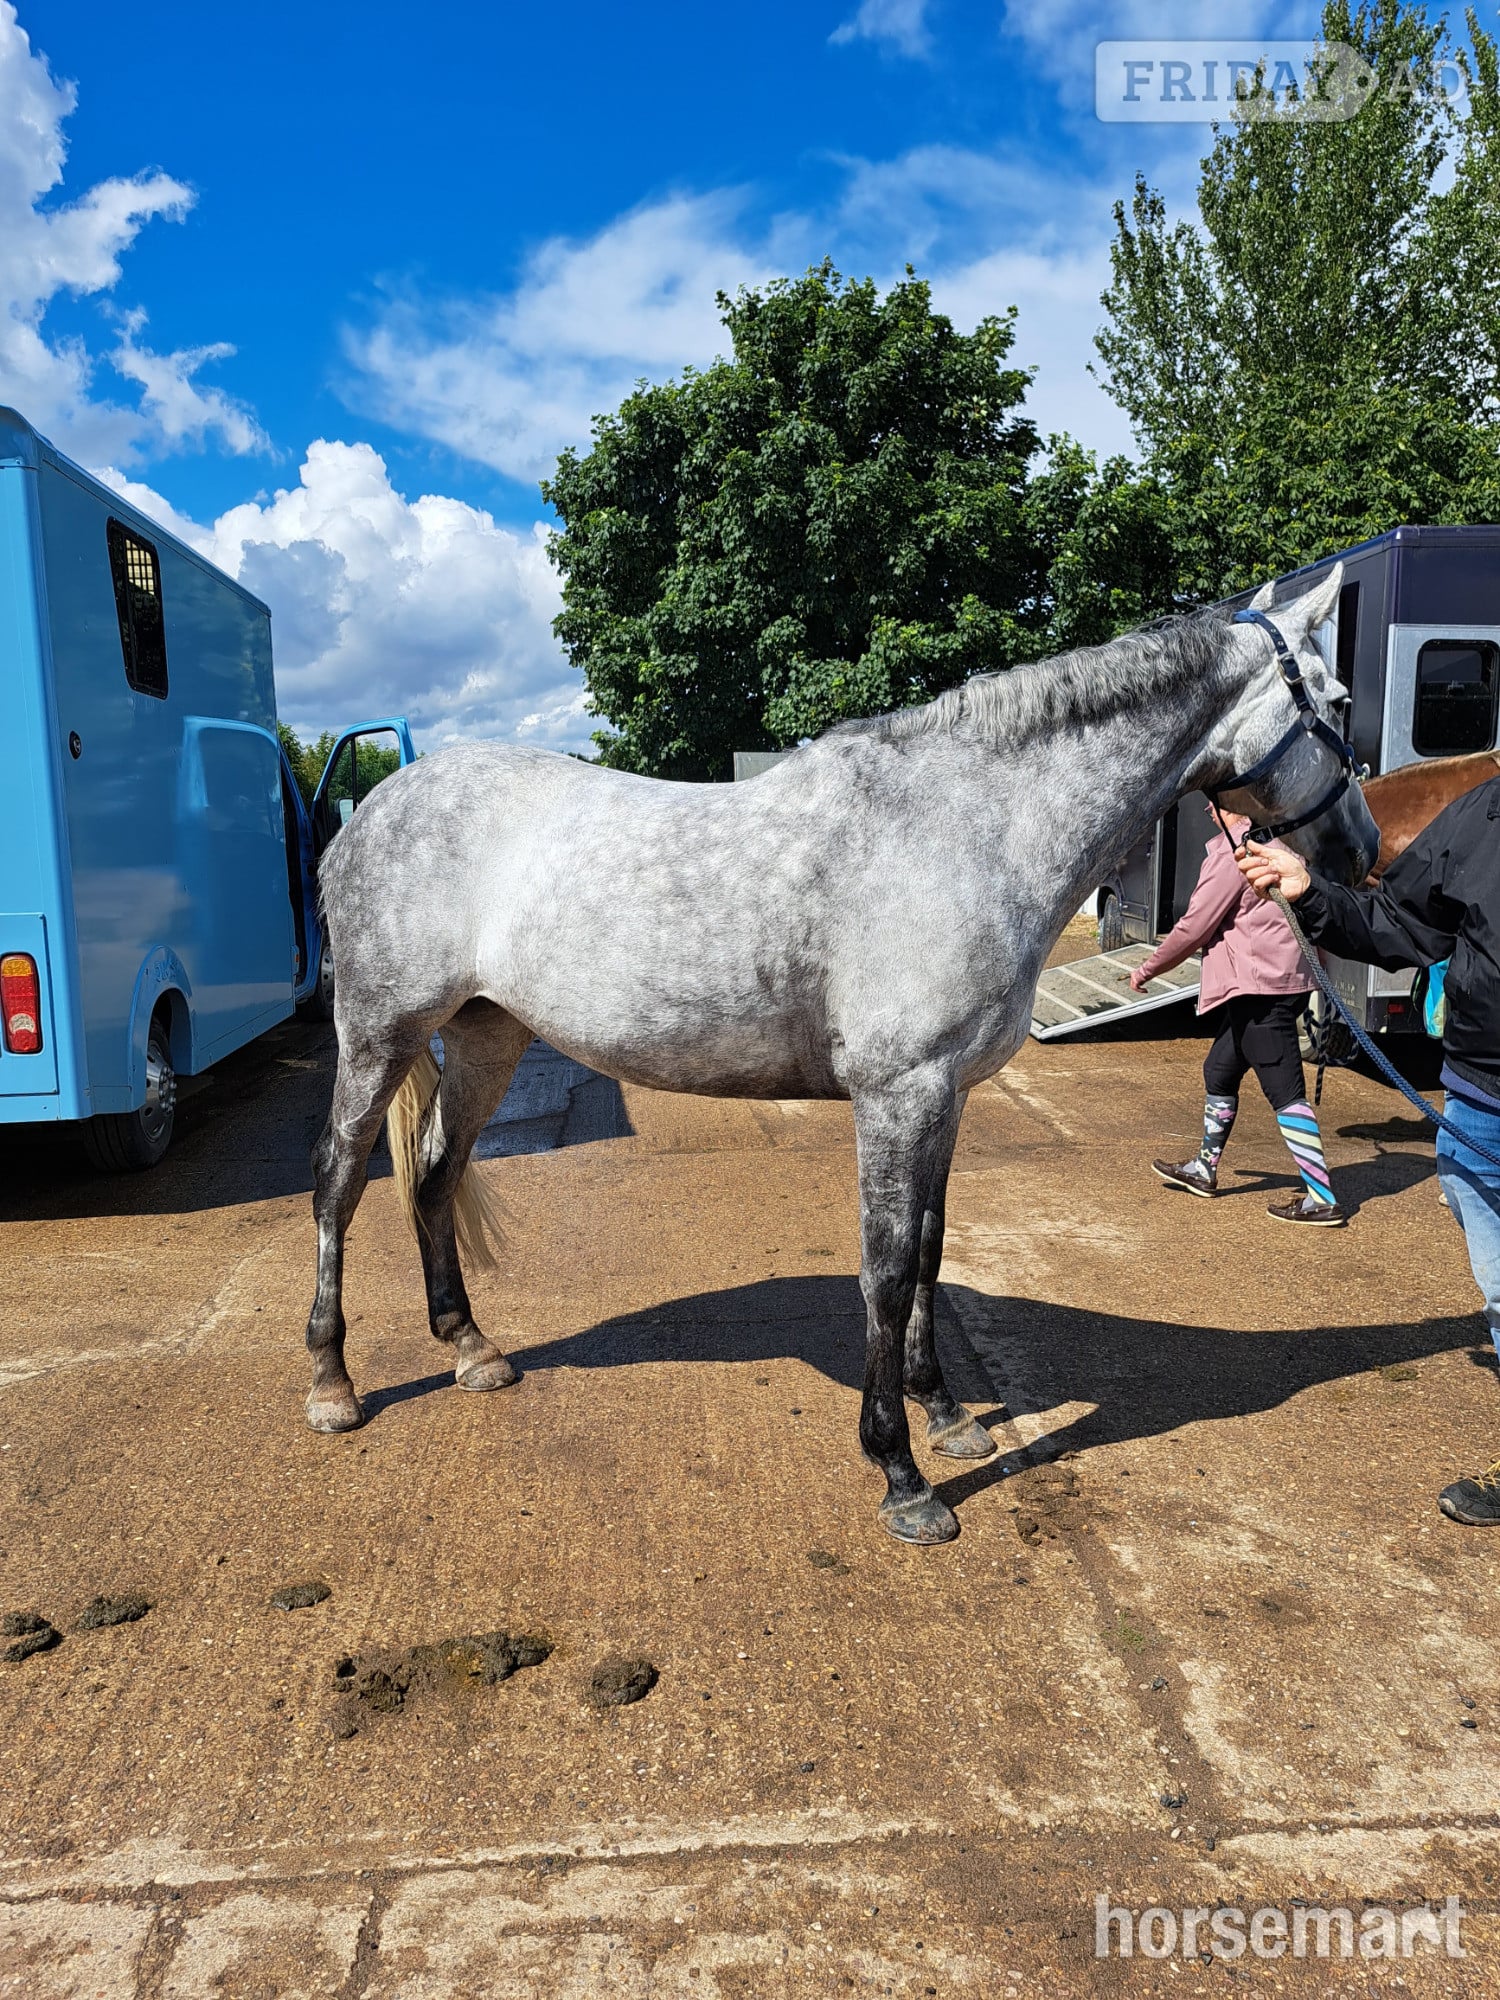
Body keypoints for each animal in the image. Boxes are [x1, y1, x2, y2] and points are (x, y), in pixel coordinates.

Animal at [304, 563, 1378, 1545]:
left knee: (435, 1175)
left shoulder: (946, 1094)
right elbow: (888, 1269)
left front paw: (948, 1418)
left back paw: (471, 1349)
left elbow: (932, 1252)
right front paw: (901, 1475)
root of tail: (369, 812)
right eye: (1337, 702)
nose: (1362, 853)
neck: (967, 828)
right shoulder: (897, 1093)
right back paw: (332, 1383)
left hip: (487, 1034)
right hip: (379, 1035)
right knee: (339, 1184)